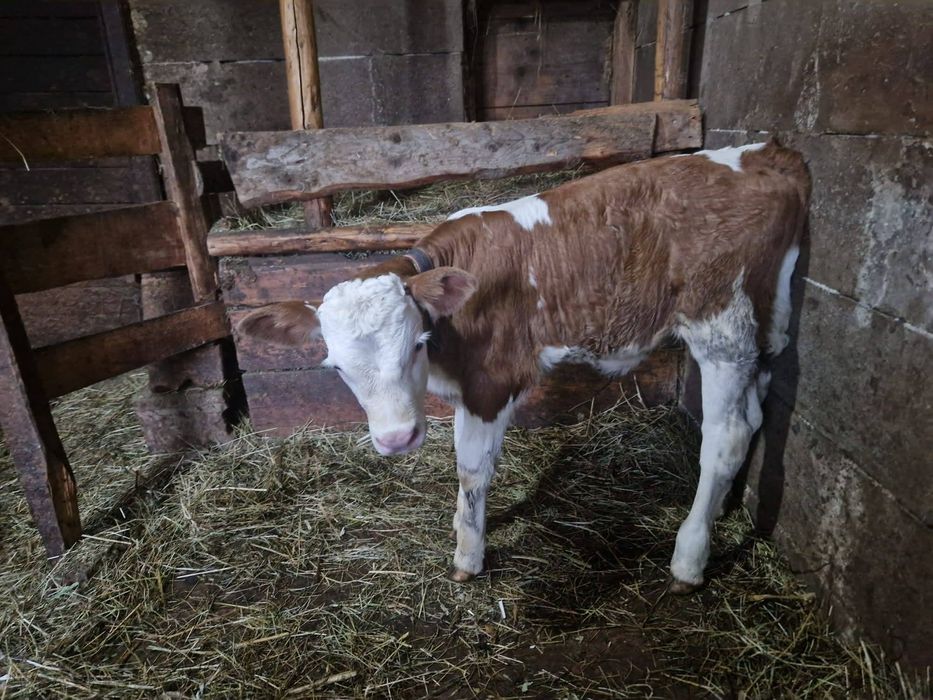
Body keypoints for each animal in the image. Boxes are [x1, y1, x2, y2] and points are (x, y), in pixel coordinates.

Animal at [238, 140, 810, 591]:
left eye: (416, 344)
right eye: (336, 368)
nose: (397, 439)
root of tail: (768, 151)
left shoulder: (491, 381)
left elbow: (472, 469)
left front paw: (468, 557)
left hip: (723, 322)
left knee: (726, 435)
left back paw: (689, 559)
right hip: (765, 325)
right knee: (753, 420)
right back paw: (723, 510)